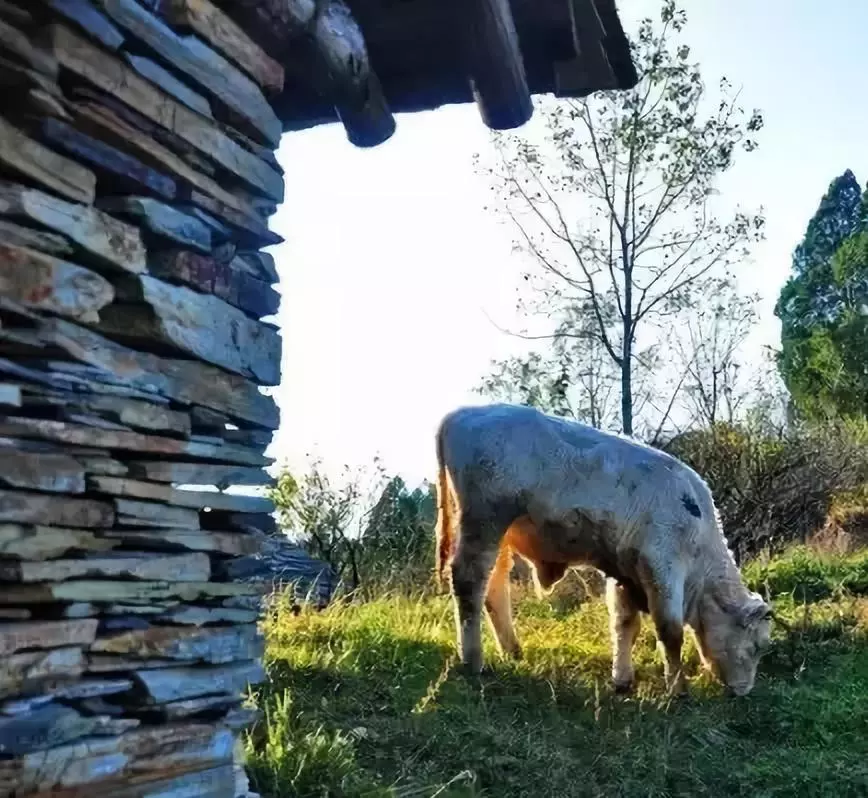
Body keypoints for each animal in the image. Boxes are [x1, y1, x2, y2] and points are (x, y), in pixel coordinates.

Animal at [434, 404, 772, 696]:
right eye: (757, 646)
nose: (744, 691)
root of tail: (460, 413)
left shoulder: (627, 573)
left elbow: (625, 625)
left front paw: (622, 679)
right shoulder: (662, 568)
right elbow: (670, 631)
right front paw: (678, 689)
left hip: (499, 535)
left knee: (493, 586)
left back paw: (513, 651)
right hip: (484, 522)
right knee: (468, 584)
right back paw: (473, 661)